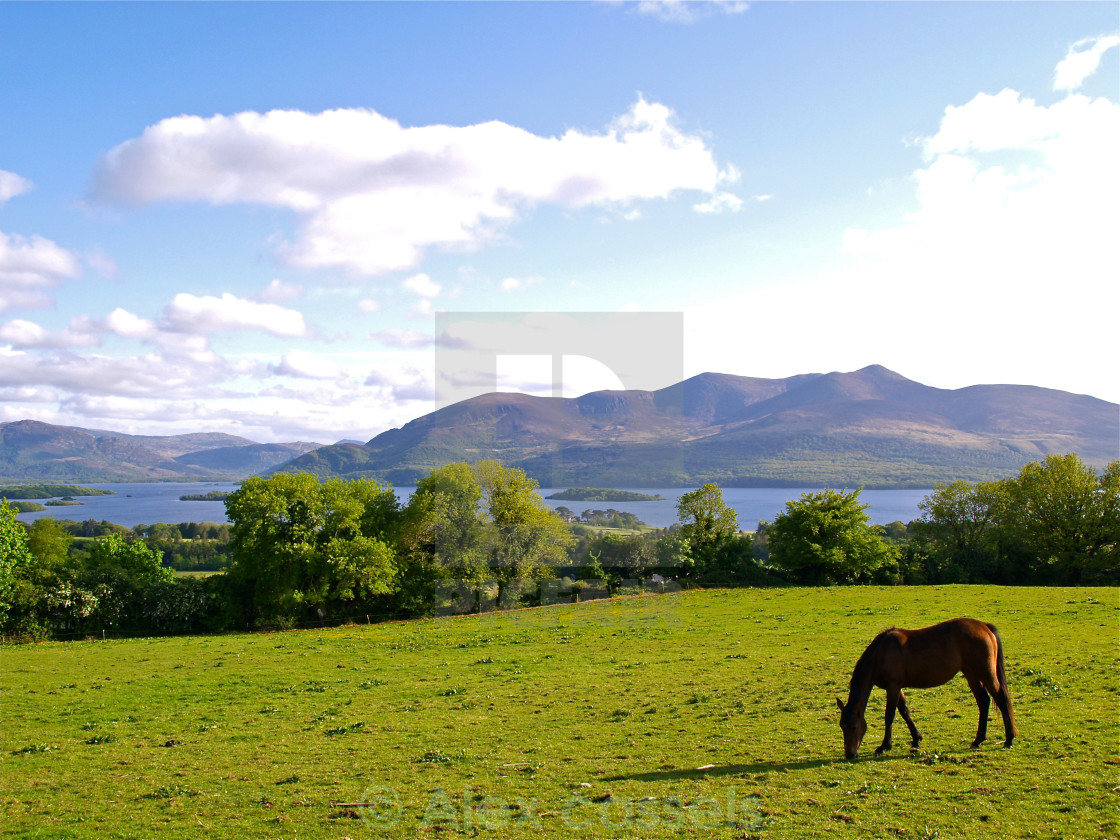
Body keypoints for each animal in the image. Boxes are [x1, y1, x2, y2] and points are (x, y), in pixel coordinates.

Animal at [842, 618, 1016, 761]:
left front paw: (884, 746)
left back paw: (1009, 739)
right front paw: (916, 739)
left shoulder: (893, 686)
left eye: (853, 727)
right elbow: (905, 711)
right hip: (971, 673)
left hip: (985, 673)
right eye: (841, 726)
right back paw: (978, 740)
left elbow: (889, 715)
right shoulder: (898, 688)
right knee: (983, 701)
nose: (850, 754)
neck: (881, 653)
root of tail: (984, 626)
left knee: (1001, 699)